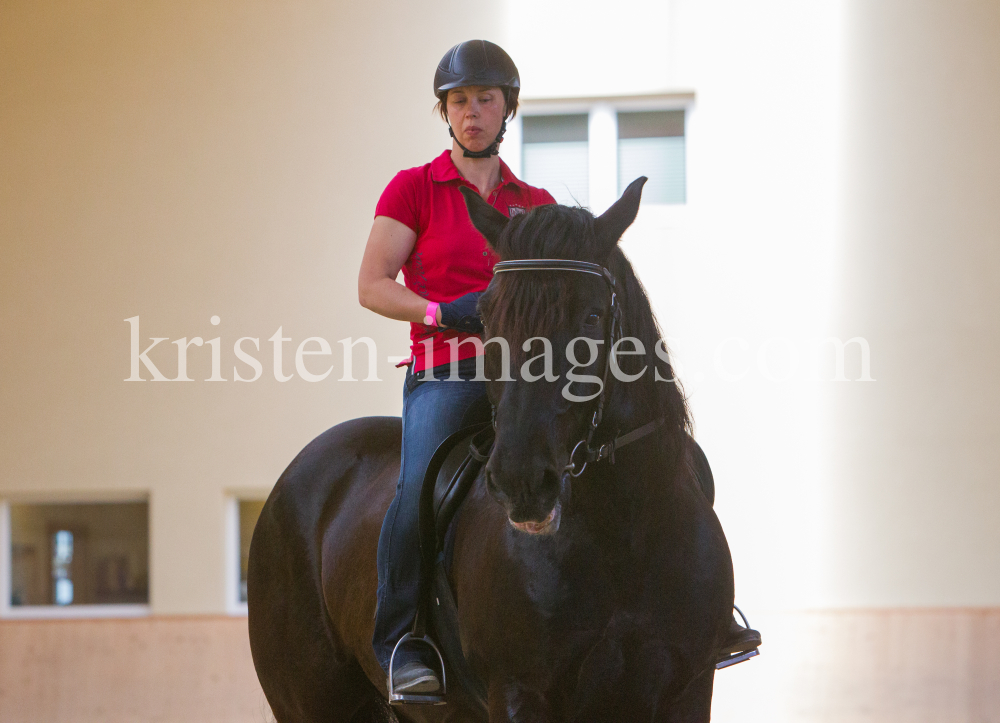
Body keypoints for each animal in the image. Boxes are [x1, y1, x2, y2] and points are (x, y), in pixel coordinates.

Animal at [248, 177, 736, 723]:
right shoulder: (519, 691)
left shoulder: (688, 688)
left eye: (592, 315)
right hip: (314, 699)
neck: (623, 531)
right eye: (484, 316)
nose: (522, 481)